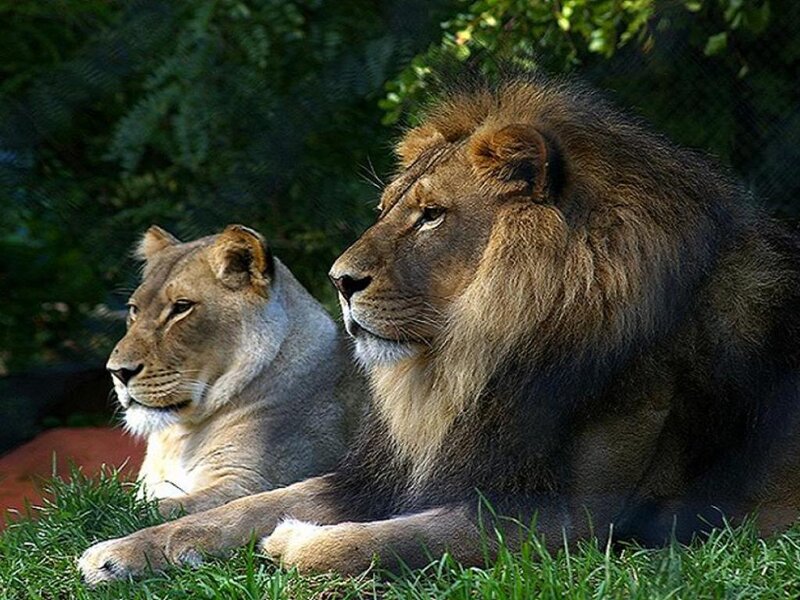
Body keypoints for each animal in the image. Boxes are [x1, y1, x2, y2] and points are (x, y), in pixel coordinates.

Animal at [105, 224, 364, 516]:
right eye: (134, 309)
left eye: (181, 307)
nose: (117, 372)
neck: (179, 439)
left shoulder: (251, 483)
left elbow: (146, 510)